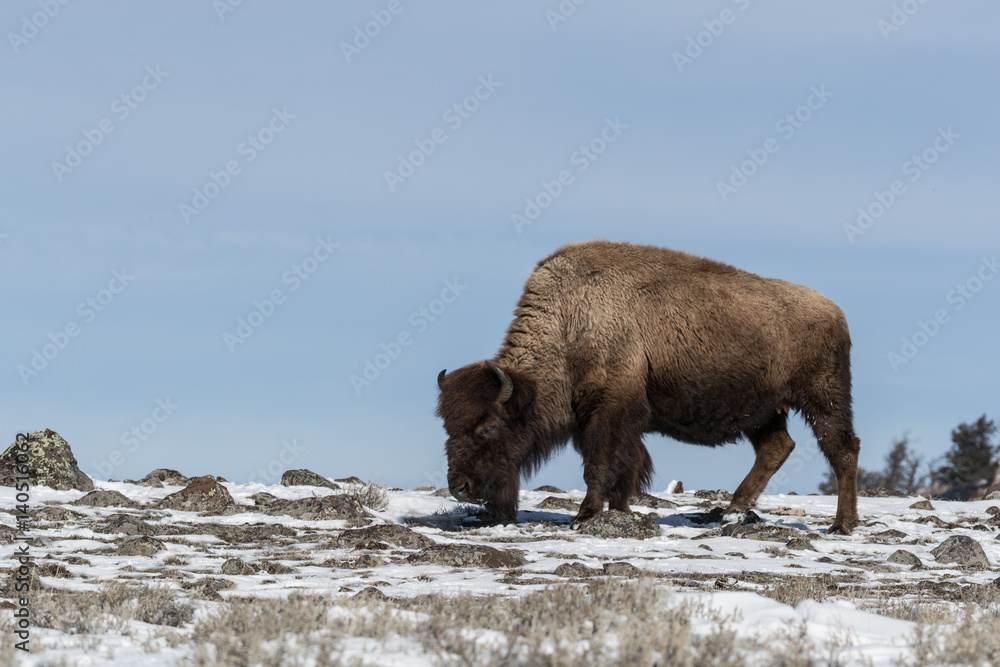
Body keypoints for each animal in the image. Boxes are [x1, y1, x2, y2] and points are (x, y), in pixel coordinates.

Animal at [436, 240, 860, 534]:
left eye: (488, 426)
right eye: (447, 427)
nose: (459, 487)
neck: (570, 325)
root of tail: (836, 313)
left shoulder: (607, 412)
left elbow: (600, 465)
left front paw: (585, 515)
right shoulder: (615, 419)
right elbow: (625, 467)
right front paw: (619, 511)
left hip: (823, 399)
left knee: (843, 449)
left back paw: (841, 525)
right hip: (763, 412)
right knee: (776, 448)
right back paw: (731, 512)